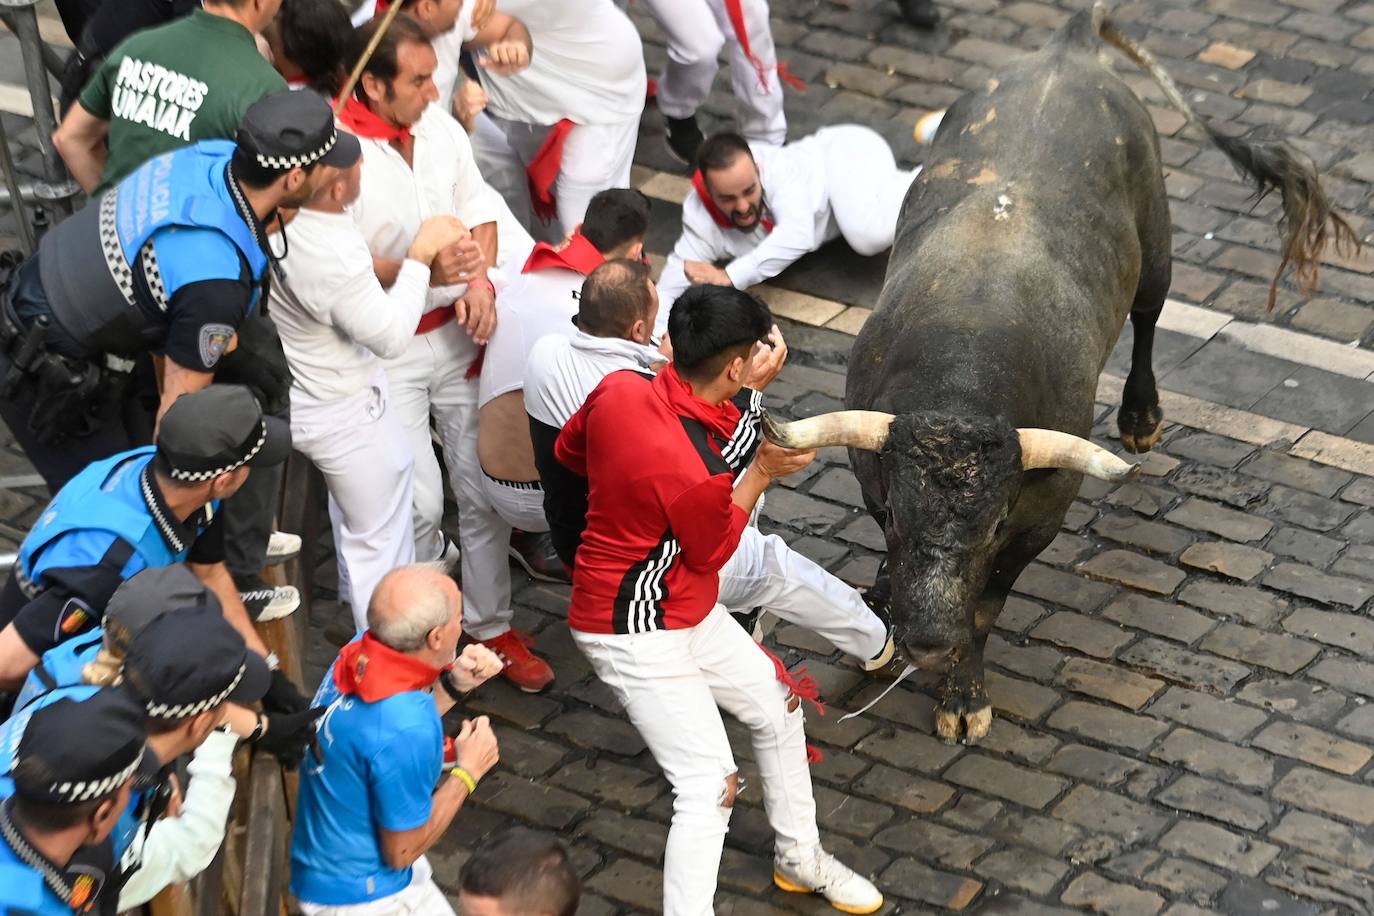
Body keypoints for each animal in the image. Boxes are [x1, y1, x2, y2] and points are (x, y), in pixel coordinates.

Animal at [769, 1, 1357, 747]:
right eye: (898, 511)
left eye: (994, 524)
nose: (927, 641)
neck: (964, 374)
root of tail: (1067, 47)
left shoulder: (1039, 520)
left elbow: (984, 609)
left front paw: (963, 696)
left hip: (1158, 242)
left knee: (1149, 314)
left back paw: (1140, 417)